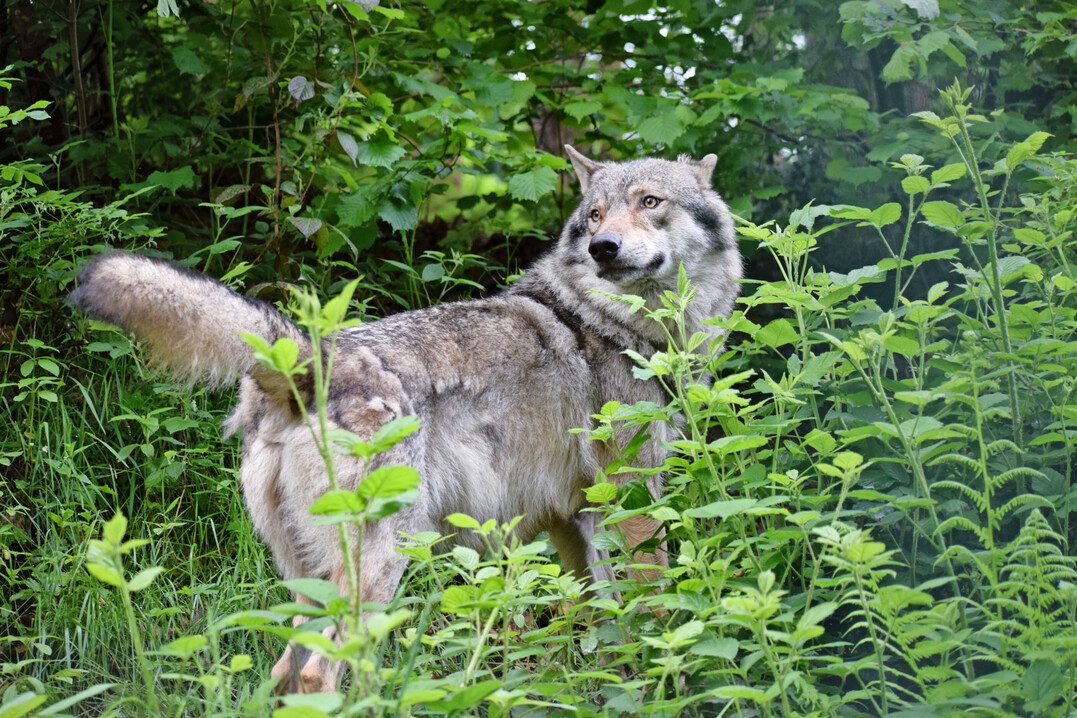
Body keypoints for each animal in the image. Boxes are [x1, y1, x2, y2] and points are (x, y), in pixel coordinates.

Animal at [68, 146, 742, 692]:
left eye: (649, 202)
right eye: (597, 216)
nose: (604, 248)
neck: (620, 326)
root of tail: (307, 357)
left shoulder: (566, 520)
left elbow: (596, 627)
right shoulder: (632, 499)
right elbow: (657, 613)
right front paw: (667, 687)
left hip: (313, 582)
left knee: (286, 670)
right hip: (383, 564)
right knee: (318, 672)